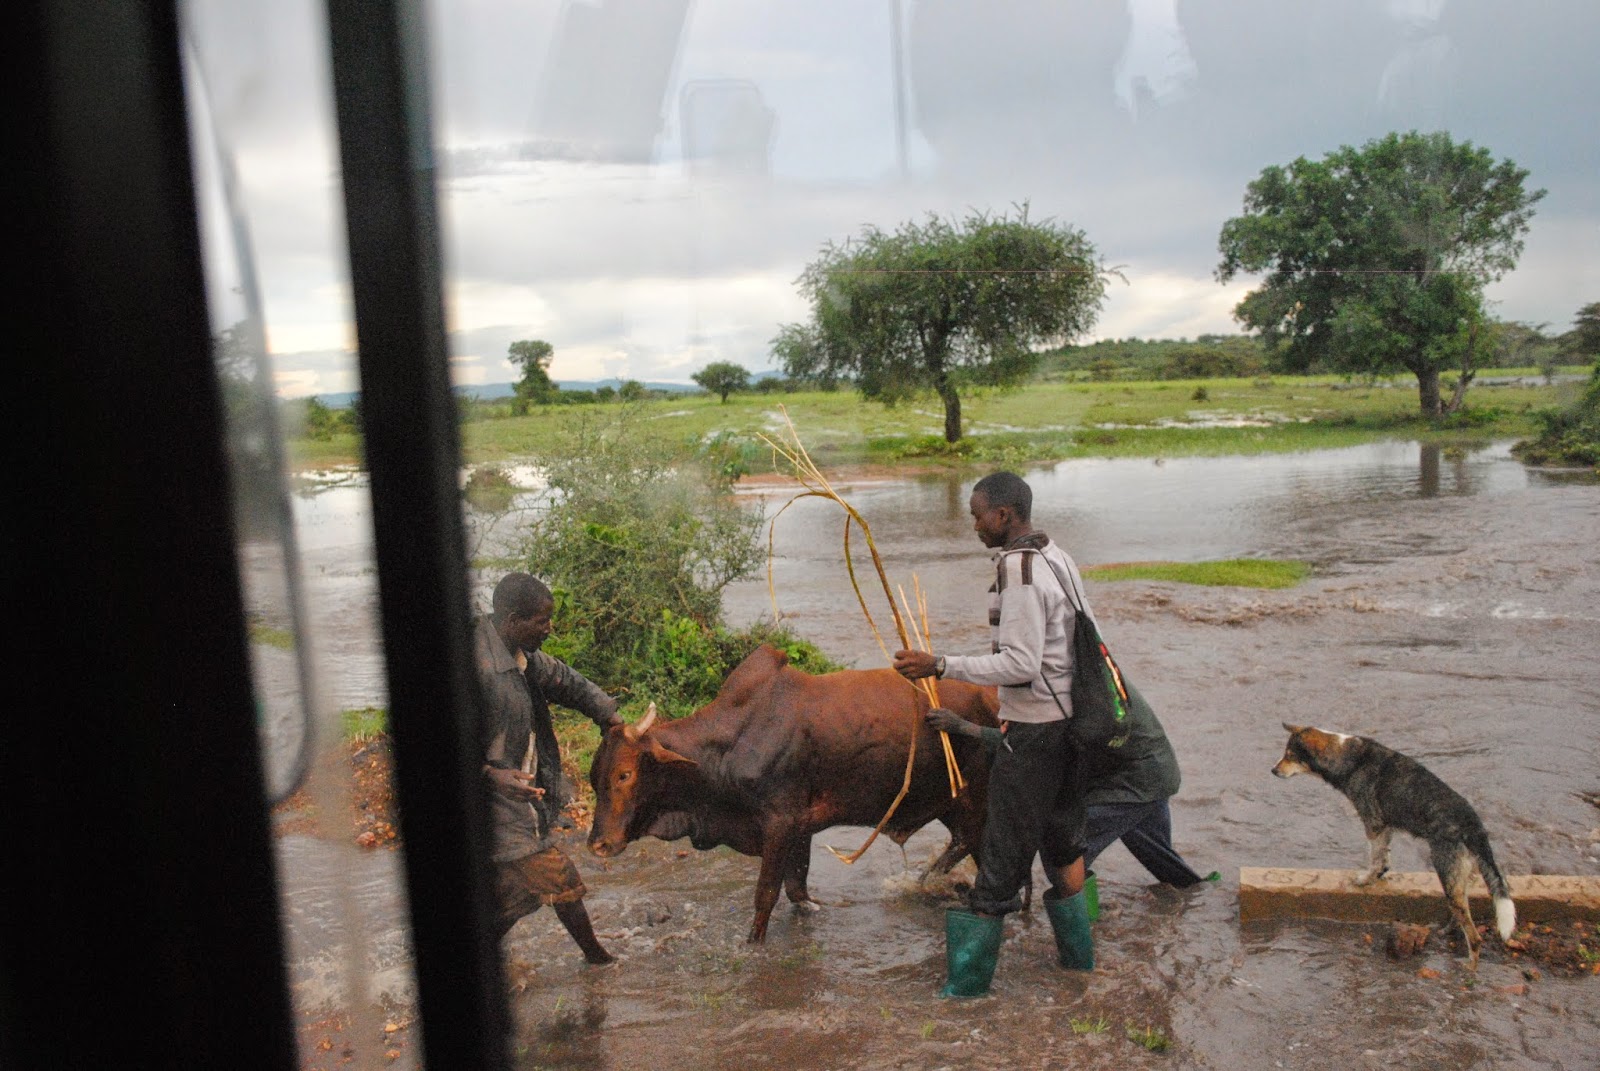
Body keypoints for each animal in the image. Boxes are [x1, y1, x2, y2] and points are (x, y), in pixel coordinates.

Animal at [588, 643, 1000, 942]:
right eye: (594, 777)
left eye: (625, 774)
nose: (598, 845)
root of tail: (991, 698)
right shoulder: (800, 828)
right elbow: (797, 889)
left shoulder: (780, 823)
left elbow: (766, 894)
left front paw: (753, 944)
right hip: (951, 803)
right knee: (961, 844)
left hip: (975, 799)